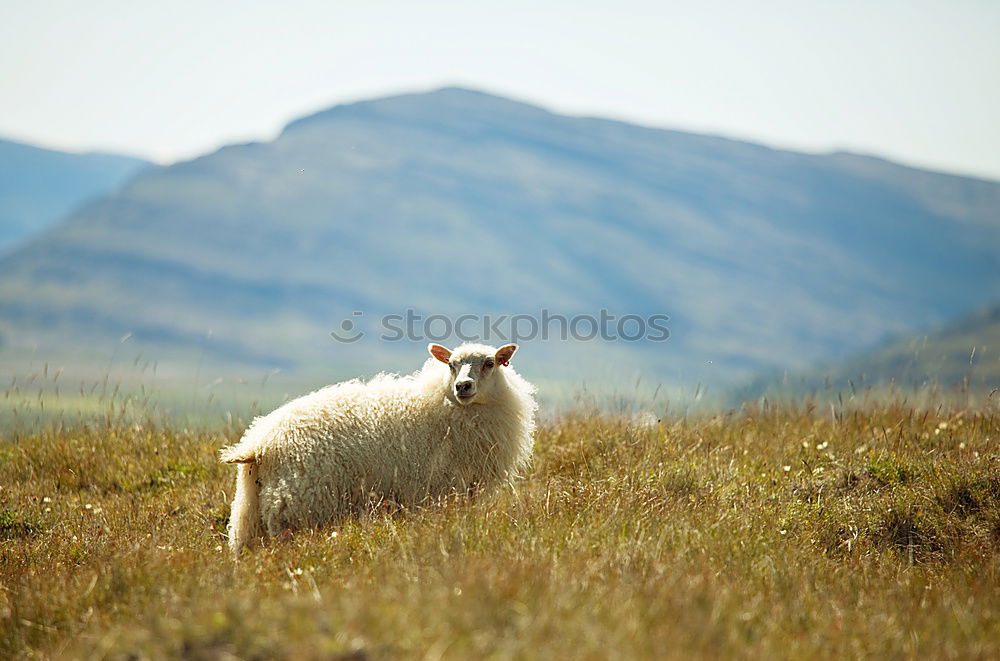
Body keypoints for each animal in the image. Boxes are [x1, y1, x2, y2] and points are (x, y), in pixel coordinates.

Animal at [216, 340, 536, 552]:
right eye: (451, 365)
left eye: (490, 363)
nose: (463, 386)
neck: (446, 405)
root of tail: (259, 443)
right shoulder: (441, 489)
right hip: (294, 507)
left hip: (248, 510)